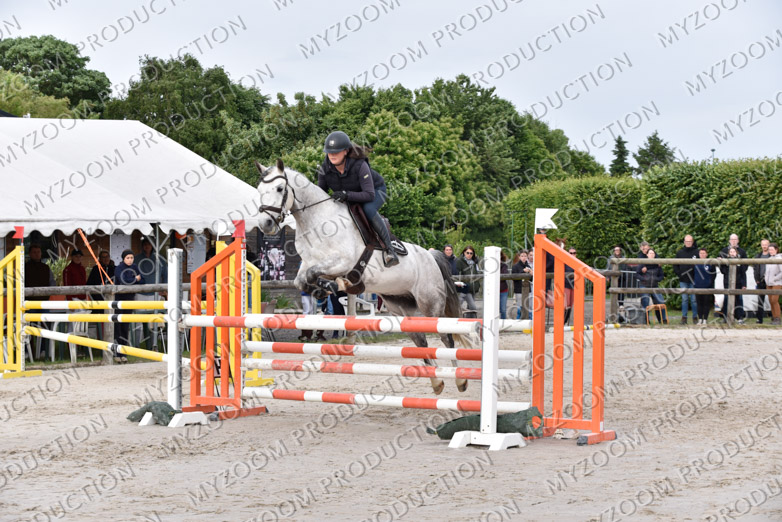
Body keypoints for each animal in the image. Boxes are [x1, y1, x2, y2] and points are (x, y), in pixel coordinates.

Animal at [255, 159, 469, 395]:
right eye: (259, 190)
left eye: (279, 189)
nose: (265, 224)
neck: (317, 223)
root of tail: (431, 256)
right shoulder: (309, 264)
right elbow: (301, 280)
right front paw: (324, 288)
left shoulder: (344, 261)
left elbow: (315, 275)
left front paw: (334, 285)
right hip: (400, 306)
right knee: (420, 340)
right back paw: (437, 383)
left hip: (430, 304)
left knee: (446, 338)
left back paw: (460, 380)